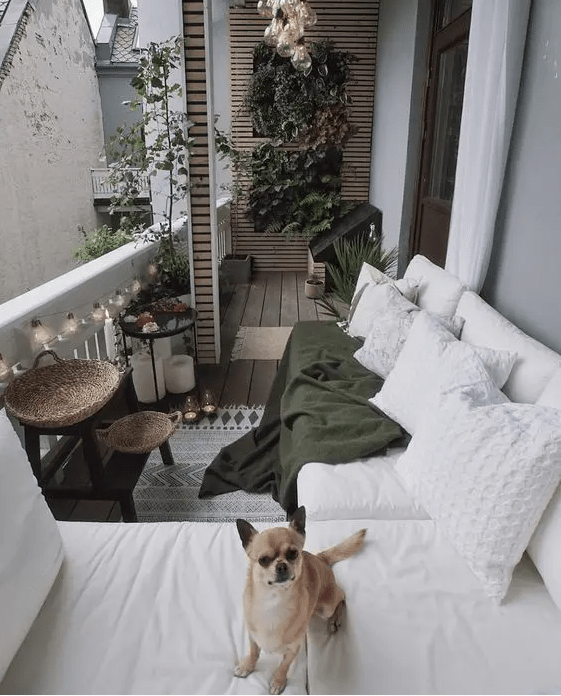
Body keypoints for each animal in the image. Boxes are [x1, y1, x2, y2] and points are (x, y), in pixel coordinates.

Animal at [234, 506, 366, 696]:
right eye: (263, 560)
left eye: (293, 554)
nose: (281, 566)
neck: (273, 602)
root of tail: (320, 558)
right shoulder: (253, 637)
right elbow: (254, 652)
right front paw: (247, 666)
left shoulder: (293, 648)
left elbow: (284, 666)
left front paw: (278, 681)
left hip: (326, 606)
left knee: (341, 596)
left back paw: (334, 620)